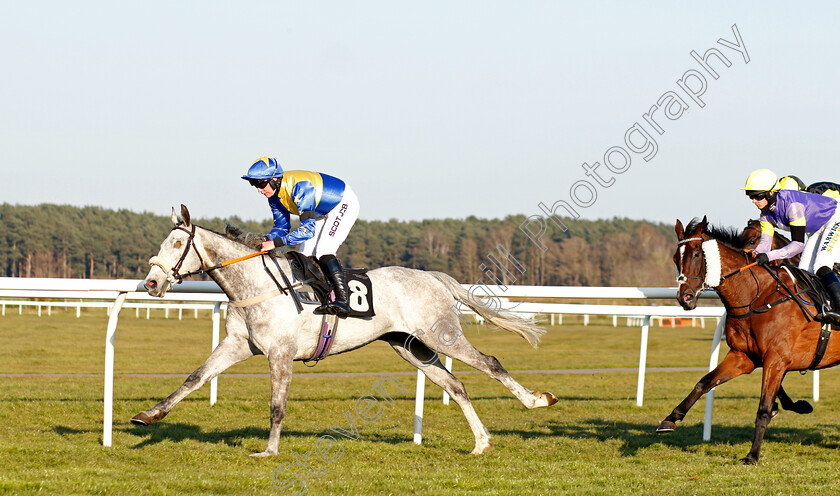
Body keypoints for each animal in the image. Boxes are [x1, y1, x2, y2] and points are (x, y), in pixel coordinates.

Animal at [131, 205, 556, 458]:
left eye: (177, 244)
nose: (151, 282)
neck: (255, 286)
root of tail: (430, 275)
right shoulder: (237, 345)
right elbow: (194, 378)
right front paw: (148, 416)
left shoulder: (281, 354)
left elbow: (277, 405)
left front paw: (269, 451)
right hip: (410, 346)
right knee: (455, 384)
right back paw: (481, 442)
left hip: (440, 335)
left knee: (490, 362)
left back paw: (537, 401)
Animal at [664, 217, 832, 464]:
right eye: (676, 258)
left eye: (696, 254)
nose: (684, 298)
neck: (758, 296)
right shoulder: (744, 356)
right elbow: (704, 382)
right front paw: (671, 418)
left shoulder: (776, 360)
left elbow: (763, 408)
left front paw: (752, 455)